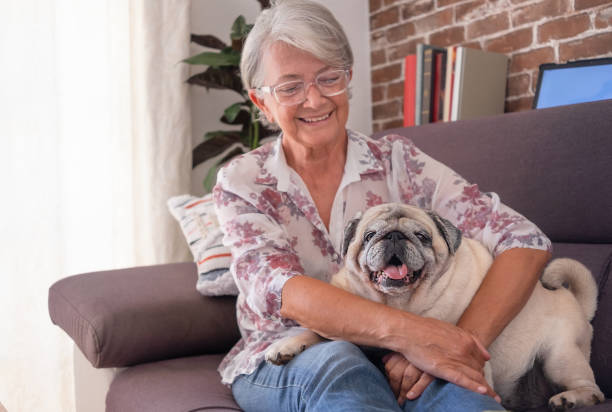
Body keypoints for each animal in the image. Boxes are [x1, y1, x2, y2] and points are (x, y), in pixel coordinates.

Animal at [266, 202, 604, 408]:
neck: (397, 305)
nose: (394, 236)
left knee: (594, 389)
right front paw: (287, 346)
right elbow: (315, 332)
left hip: (559, 357)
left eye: (422, 236)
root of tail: (577, 302)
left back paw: (570, 399)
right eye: (370, 235)